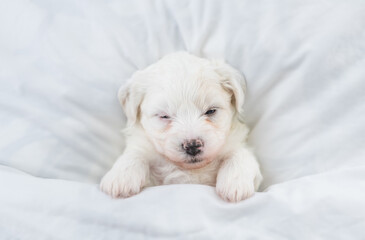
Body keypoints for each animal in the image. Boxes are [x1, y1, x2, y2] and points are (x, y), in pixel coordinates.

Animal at [100, 51, 262, 202]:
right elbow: (135, 153)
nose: (192, 146)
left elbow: (240, 154)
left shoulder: (235, 142)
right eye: (164, 116)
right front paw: (120, 178)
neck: (191, 169)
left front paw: (234, 183)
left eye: (210, 111)